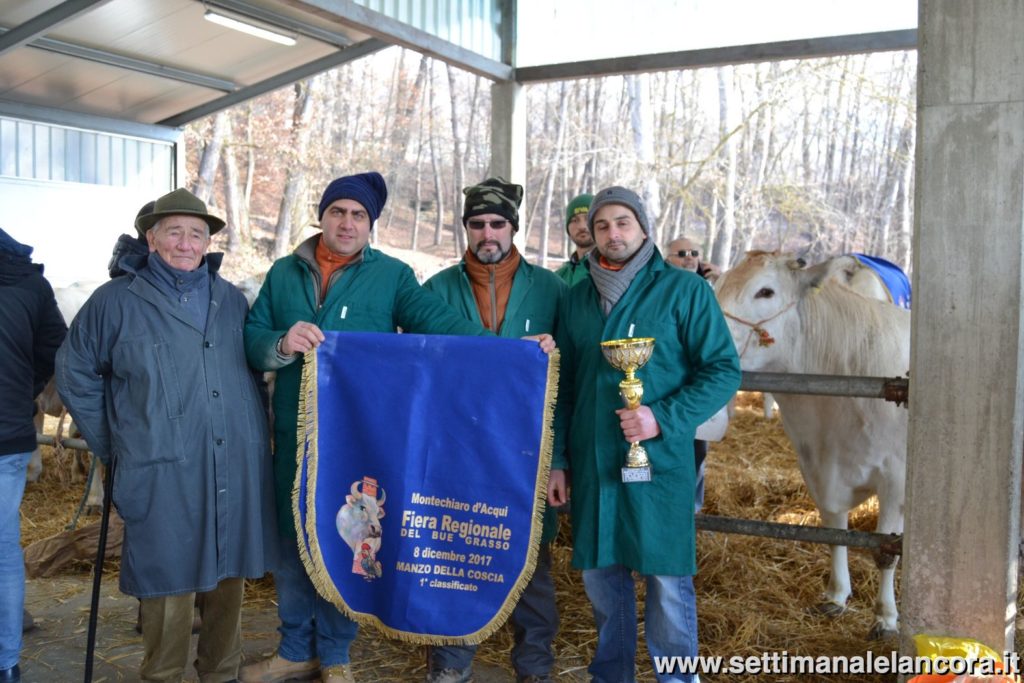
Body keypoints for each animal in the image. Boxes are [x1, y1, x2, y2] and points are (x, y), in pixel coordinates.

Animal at [712, 252, 913, 643]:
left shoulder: (896, 479)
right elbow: (834, 532)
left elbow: (886, 551)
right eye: (720, 283)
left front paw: (885, 618)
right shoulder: (817, 466)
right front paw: (835, 596)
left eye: (765, 291)